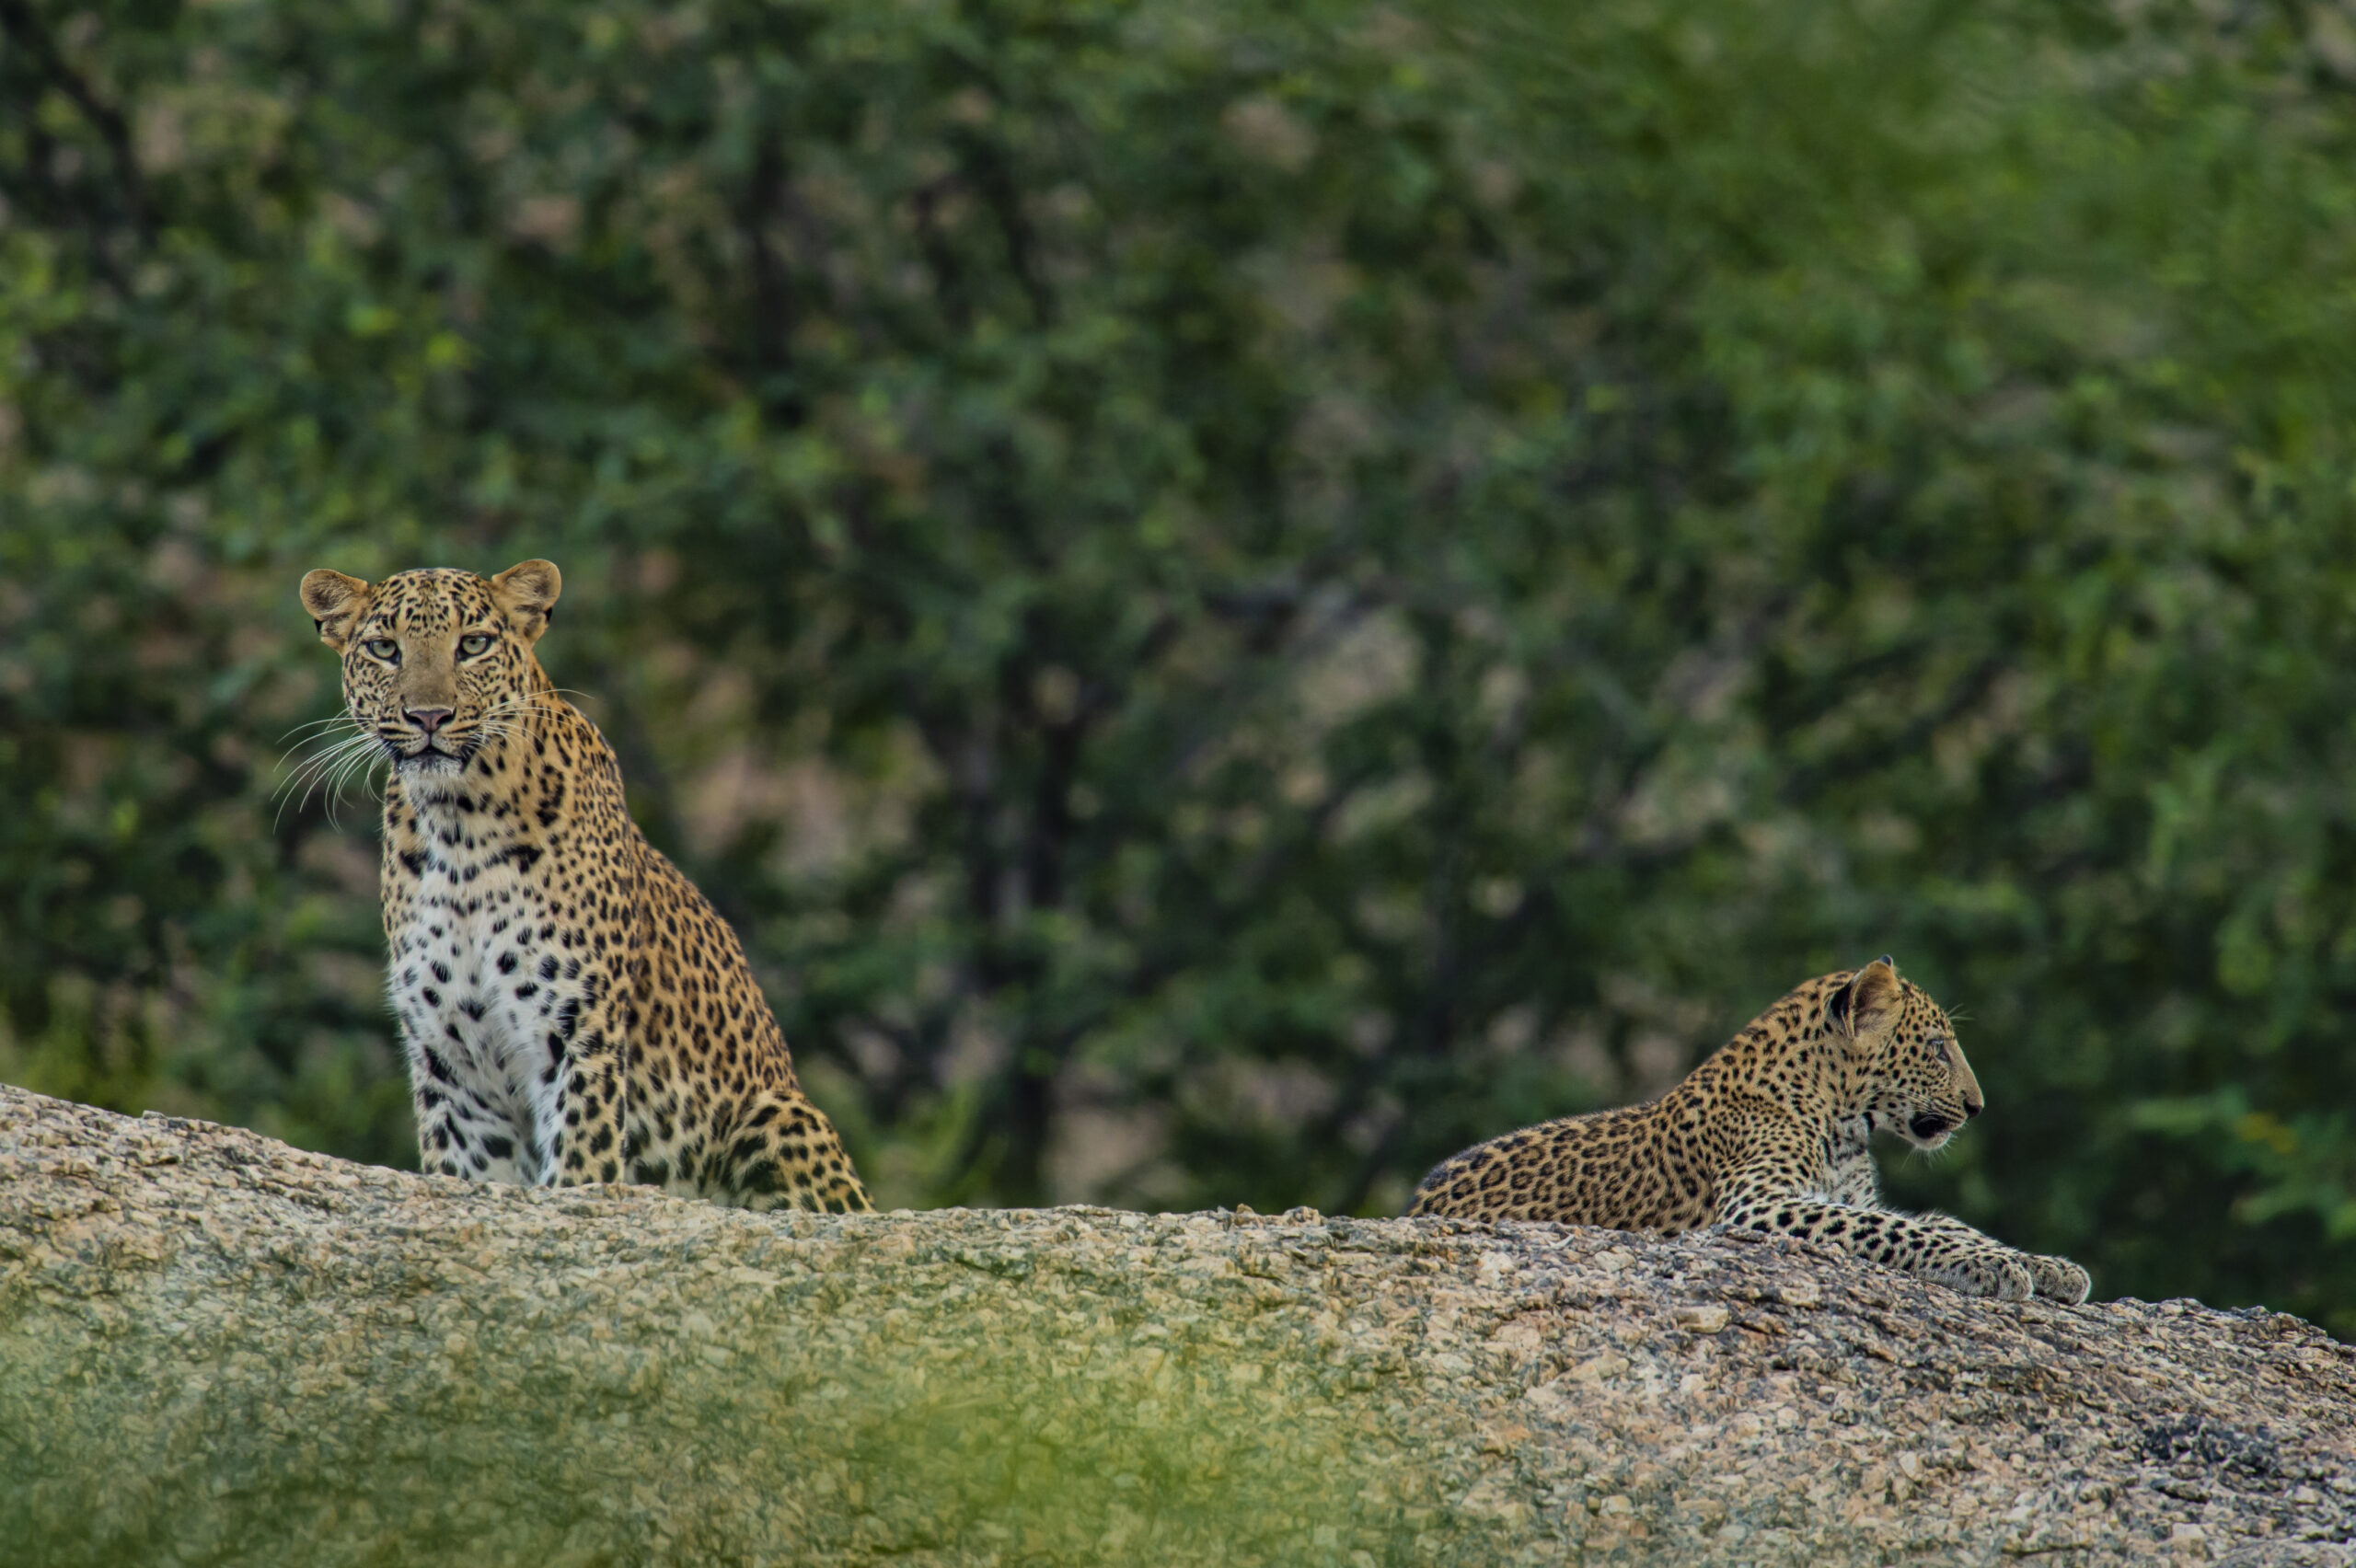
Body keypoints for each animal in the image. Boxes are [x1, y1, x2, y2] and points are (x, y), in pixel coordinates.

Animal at [297, 558, 872, 1213]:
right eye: (384, 649)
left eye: (473, 645)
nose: (429, 716)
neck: (458, 825)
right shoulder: (452, 1063)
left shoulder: (576, 1028)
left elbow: (581, 1164)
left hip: (779, 1116)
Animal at [1407, 959, 2090, 1303]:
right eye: (1936, 1048)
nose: (1977, 1106)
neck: (1842, 1120)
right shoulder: (1758, 1203)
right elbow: (1898, 1229)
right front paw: (1995, 1268)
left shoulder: (1846, 1195)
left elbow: (1939, 1222)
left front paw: (2047, 1266)